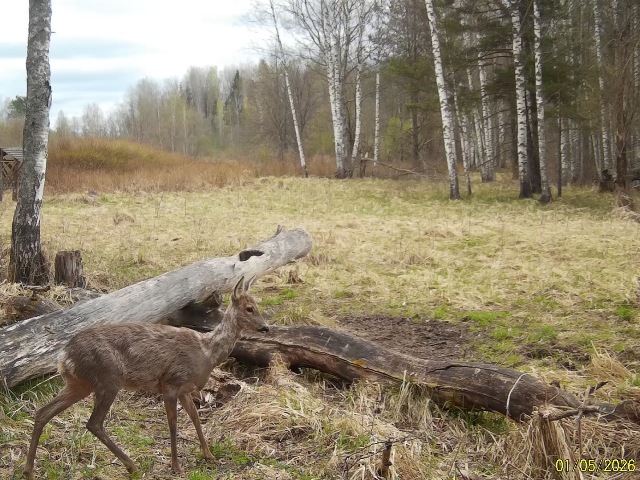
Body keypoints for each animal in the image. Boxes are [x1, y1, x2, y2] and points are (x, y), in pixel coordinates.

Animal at [23, 276, 268, 479]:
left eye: (257, 306)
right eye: (249, 308)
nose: (265, 327)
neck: (206, 352)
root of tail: (64, 356)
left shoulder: (185, 389)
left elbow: (196, 419)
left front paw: (209, 456)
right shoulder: (171, 382)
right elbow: (173, 424)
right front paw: (176, 467)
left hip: (79, 383)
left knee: (43, 412)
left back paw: (28, 470)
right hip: (108, 378)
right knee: (94, 423)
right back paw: (132, 466)